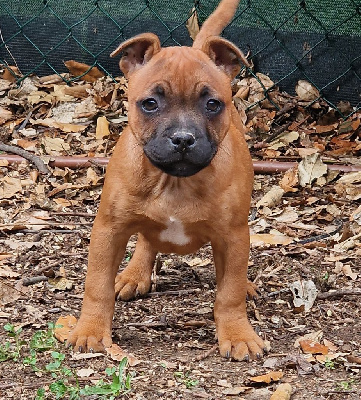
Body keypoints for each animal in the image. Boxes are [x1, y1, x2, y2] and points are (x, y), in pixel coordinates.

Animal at [67, 0, 264, 362]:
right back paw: (133, 274)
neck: (174, 181)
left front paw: (237, 333)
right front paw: (91, 330)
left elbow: (229, 292)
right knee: (147, 239)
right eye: (150, 103)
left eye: (212, 104)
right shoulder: (109, 229)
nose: (183, 138)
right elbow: (97, 284)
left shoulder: (233, 236)